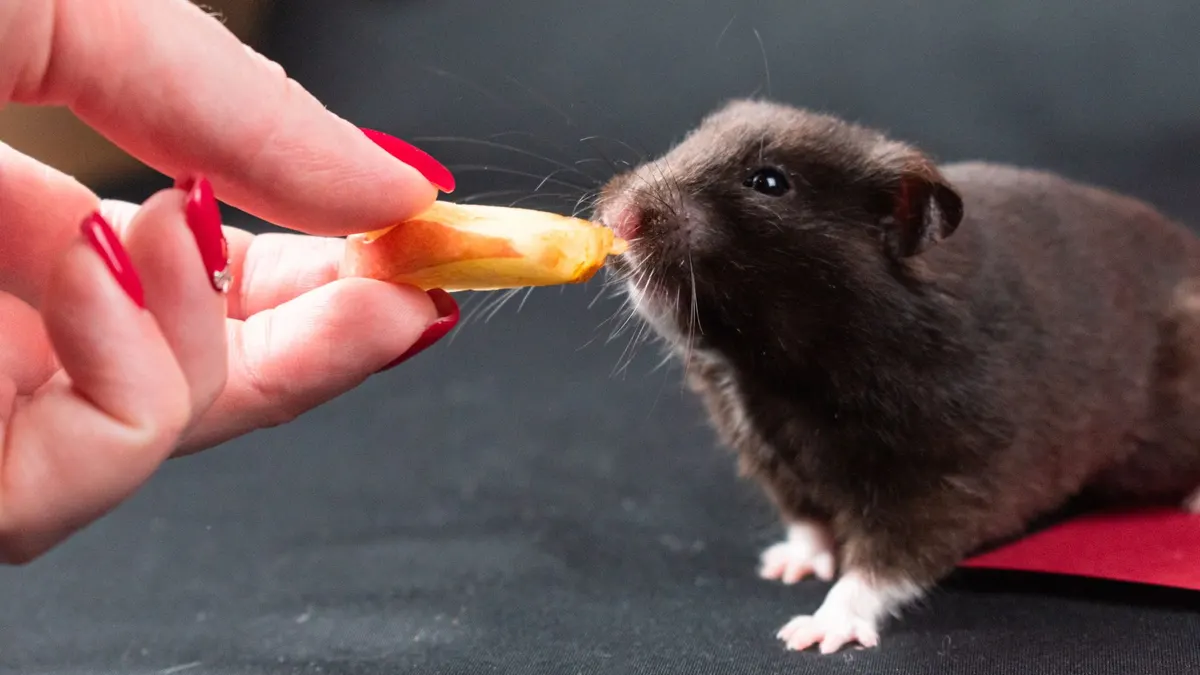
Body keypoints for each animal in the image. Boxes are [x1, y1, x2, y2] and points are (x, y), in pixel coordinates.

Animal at [592, 98, 1200, 654]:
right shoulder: (768, 456)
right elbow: (807, 521)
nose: (617, 218)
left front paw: (813, 633)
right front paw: (785, 566)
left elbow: (883, 564)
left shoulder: (945, 474)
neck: (770, 369)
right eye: (691, 138)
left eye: (769, 182)